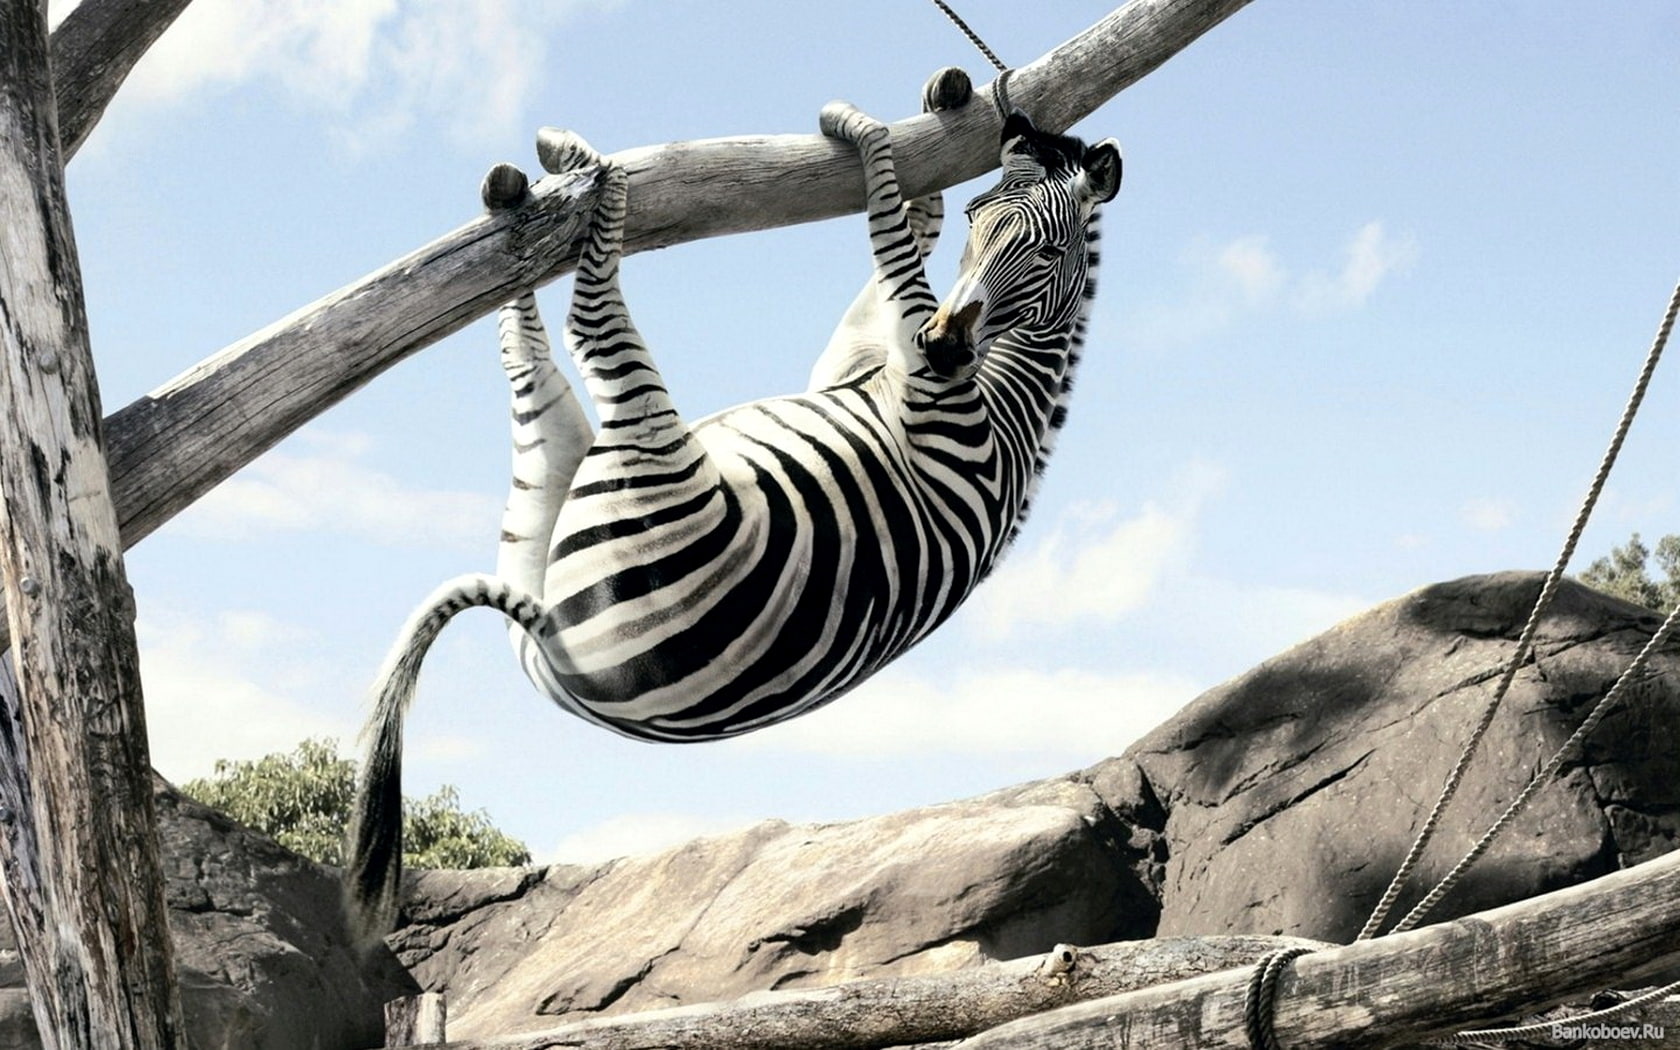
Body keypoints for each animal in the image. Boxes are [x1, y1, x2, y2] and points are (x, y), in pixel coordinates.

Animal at [346, 67, 1121, 941]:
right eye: (979, 218)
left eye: (1048, 249)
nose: (946, 343)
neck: (1005, 397)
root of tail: (553, 643)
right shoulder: (858, 360)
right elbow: (899, 239)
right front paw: (924, 115)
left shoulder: (925, 390)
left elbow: (889, 239)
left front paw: (858, 129)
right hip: (541, 496)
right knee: (525, 352)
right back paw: (520, 208)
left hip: (640, 452)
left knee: (589, 320)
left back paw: (587, 173)